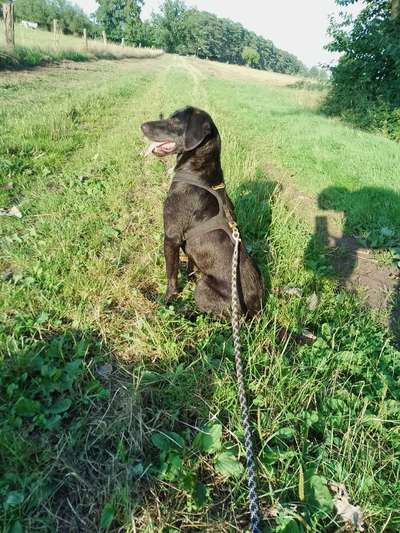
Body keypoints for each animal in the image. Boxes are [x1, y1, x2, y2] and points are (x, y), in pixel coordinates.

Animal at [140, 106, 262, 318]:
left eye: (175, 121)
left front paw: (166, 300)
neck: (197, 173)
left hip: (204, 288)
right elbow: (189, 264)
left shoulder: (171, 237)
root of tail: (255, 312)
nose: (142, 126)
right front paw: (188, 277)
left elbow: (171, 277)